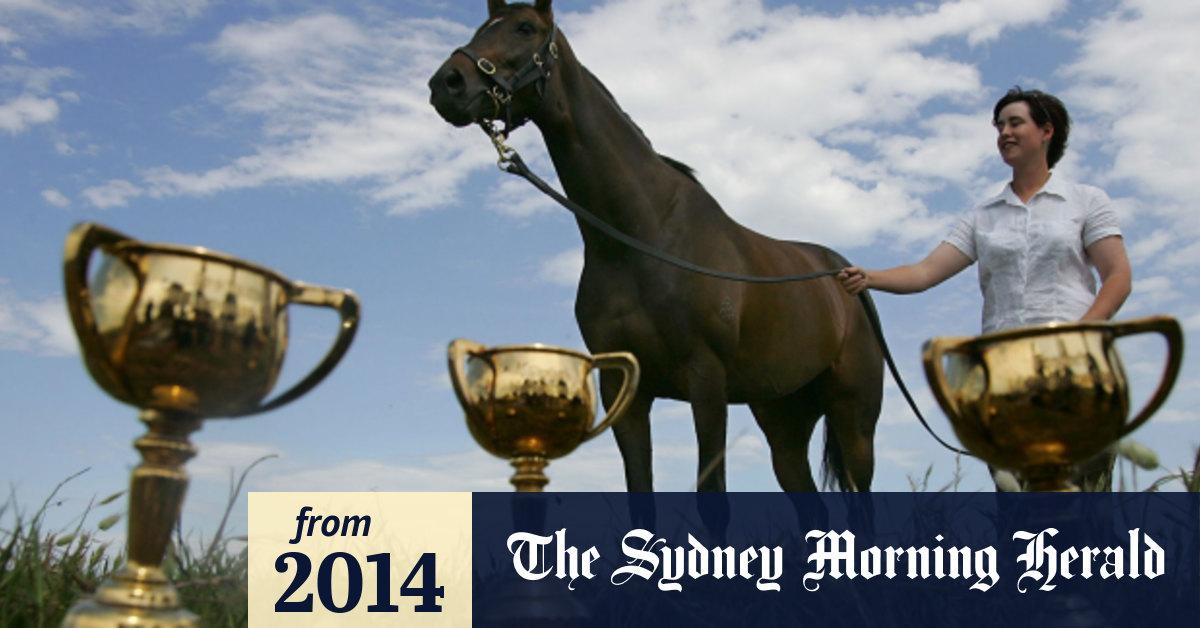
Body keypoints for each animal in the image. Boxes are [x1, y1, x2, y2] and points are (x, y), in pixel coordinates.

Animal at [429, 0, 884, 498]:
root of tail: (847, 278)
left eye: (525, 27)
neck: (643, 238)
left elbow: (711, 489)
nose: (447, 83)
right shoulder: (624, 389)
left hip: (855, 418)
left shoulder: (707, 381)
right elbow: (639, 486)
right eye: (482, 27)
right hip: (783, 421)